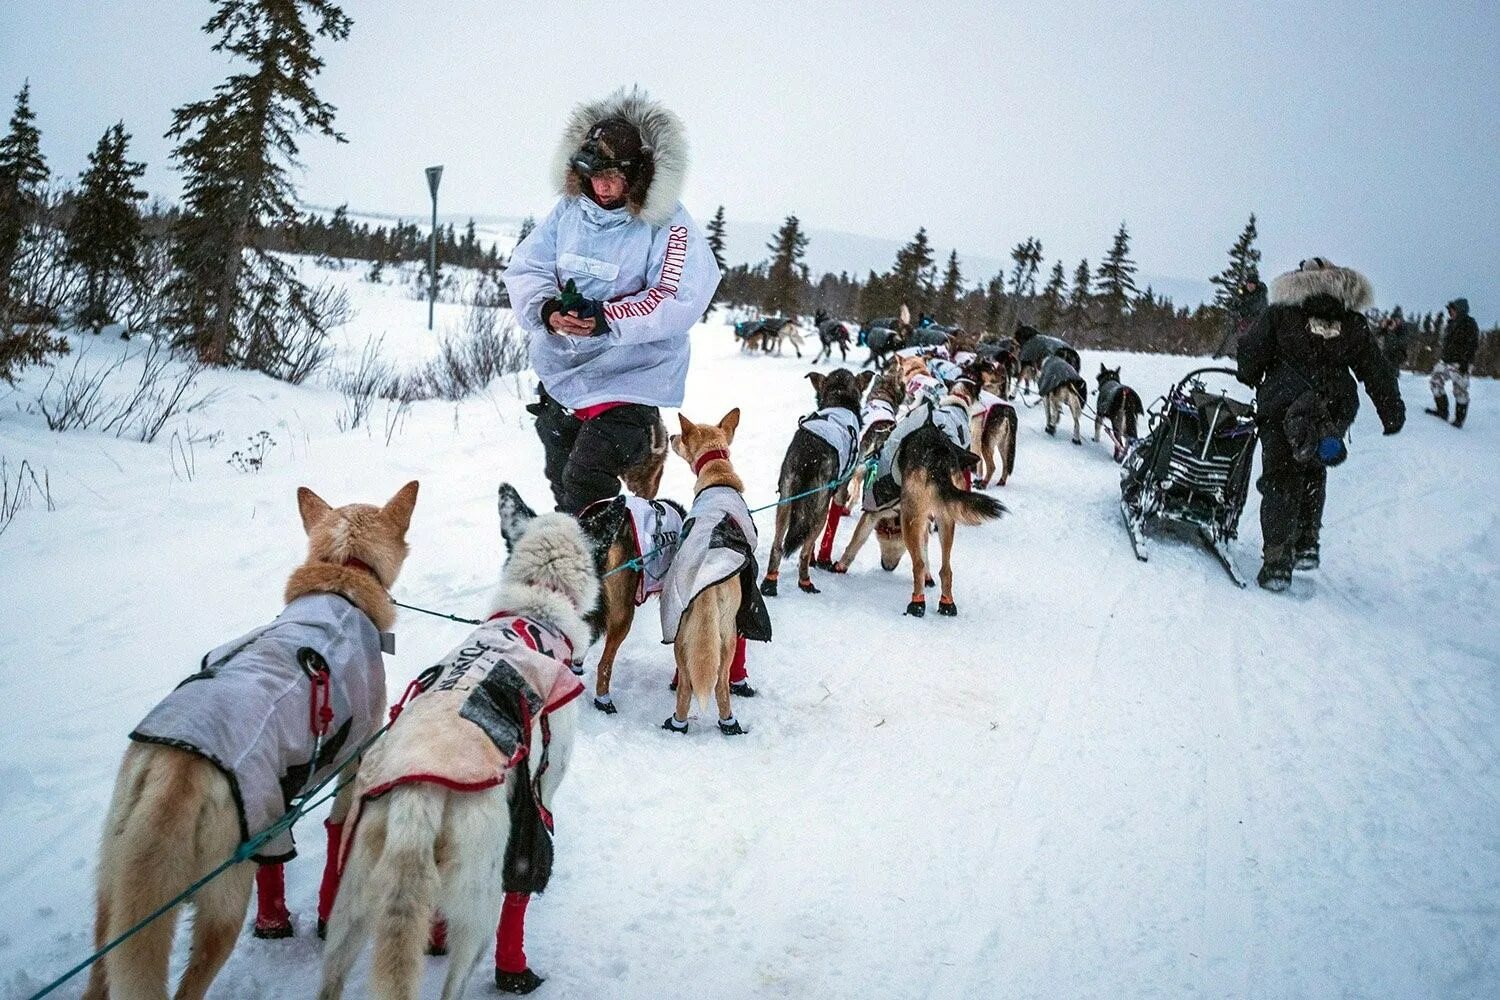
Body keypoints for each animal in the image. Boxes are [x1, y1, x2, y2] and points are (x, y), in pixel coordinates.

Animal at [85, 479, 420, 1000]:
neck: (341, 578)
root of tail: (176, 775)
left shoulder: (272, 803)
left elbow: (275, 862)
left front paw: (274, 922)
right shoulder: (354, 761)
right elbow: (336, 838)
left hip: (112, 904)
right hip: (222, 906)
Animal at [768, 371, 876, 599]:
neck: (838, 398)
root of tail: (809, 452)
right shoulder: (840, 491)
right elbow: (830, 529)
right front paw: (823, 560)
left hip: (786, 502)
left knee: (778, 546)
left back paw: (770, 582)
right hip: (819, 509)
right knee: (803, 550)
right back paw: (805, 582)